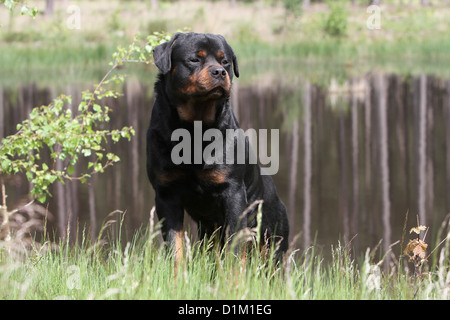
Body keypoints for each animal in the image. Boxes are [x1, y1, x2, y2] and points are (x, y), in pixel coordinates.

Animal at [148, 31, 288, 264]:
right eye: (194, 59)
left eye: (225, 62)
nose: (219, 72)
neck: (194, 129)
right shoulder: (166, 194)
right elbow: (175, 246)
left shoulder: (233, 194)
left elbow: (234, 250)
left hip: (272, 239)